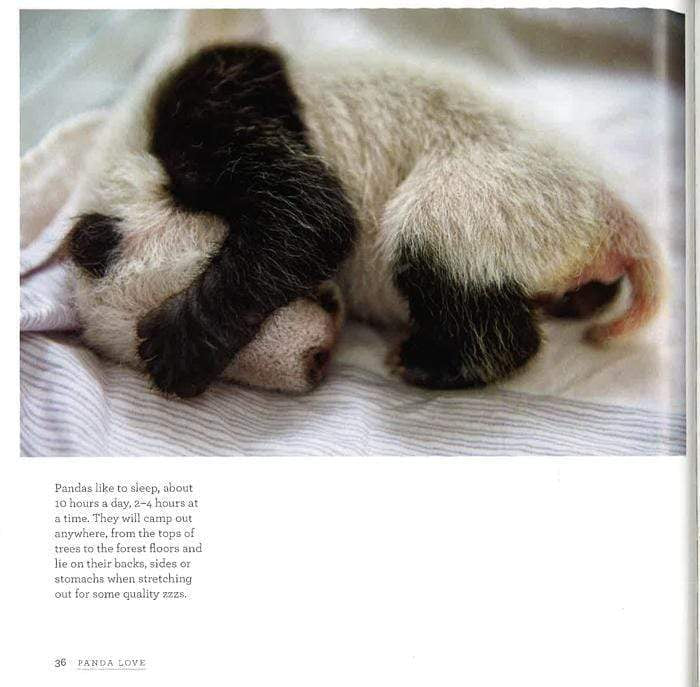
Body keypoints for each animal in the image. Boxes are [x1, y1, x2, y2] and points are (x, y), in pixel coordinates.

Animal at [64, 25, 665, 399]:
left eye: (201, 271)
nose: (316, 357)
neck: (122, 158)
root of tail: (608, 213)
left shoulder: (216, 104)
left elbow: (314, 212)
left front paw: (173, 347)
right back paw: (579, 300)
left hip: (497, 190)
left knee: (431, 236)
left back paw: (431, 360)